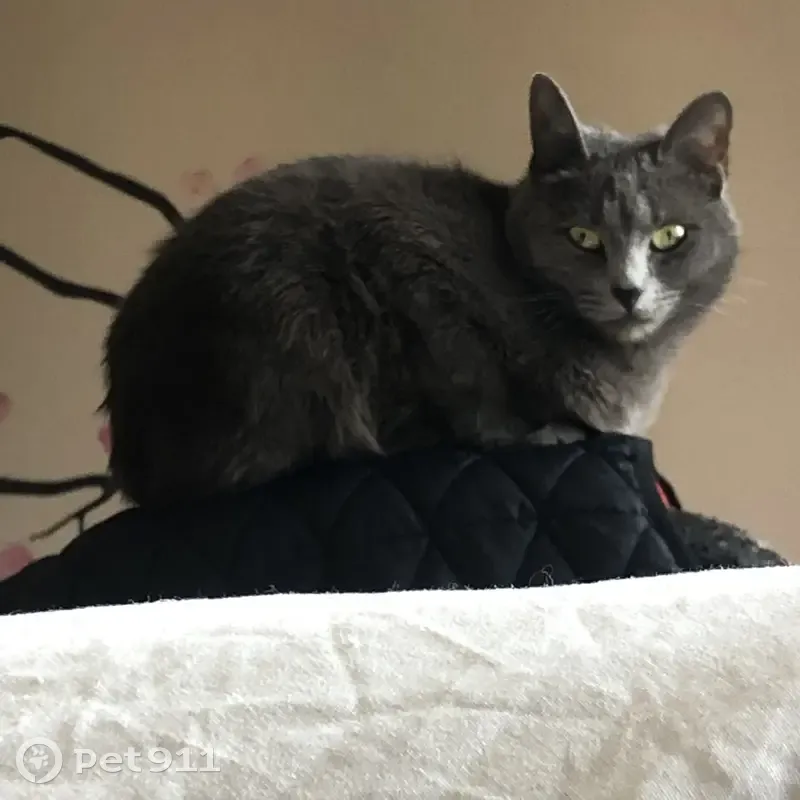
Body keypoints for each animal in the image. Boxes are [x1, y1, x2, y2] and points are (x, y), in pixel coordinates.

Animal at [103, 73, 738, 507]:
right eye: (582, 236)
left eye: (670, 235)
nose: (627, 290)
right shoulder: (417, 270)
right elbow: (469, 387)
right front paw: (540, 429)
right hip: (287, 315)